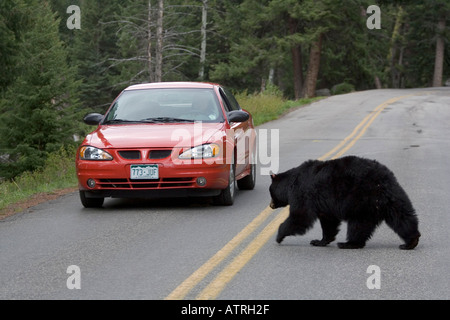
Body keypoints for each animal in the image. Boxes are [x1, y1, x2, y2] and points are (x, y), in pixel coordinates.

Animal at [270, 156, 422, 250]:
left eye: (270, 191)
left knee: (358, 224)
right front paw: (320, 241)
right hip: (392, 198)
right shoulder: (325, 207)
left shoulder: (302, 193)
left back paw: (348, 243)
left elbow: (300, 216)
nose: (270, 205)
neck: (290, 183)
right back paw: (411, 241)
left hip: (360, 200)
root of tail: (382, 181)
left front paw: (279, 236)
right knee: (402, 217)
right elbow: (329, 222)